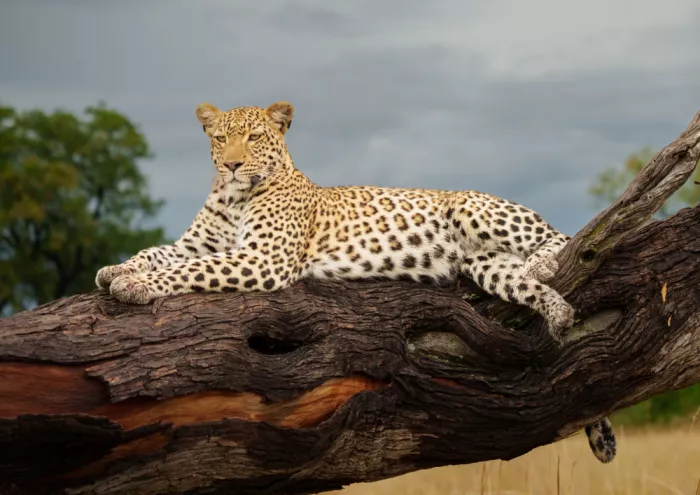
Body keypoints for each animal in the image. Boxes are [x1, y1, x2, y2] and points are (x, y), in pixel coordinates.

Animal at [95, 100, 616, 464]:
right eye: (221, 139)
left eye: (255, 137)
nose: (233, 165)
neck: (233, 197)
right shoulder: (199, 244)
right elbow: (157, 253)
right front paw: (116, 270)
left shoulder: (263, 259)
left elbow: (185, 271)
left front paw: (136, 286)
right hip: (486, 264)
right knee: (530, 280)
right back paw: (557, 312)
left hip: (474, 208)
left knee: (562, 239)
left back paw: (545, 264)